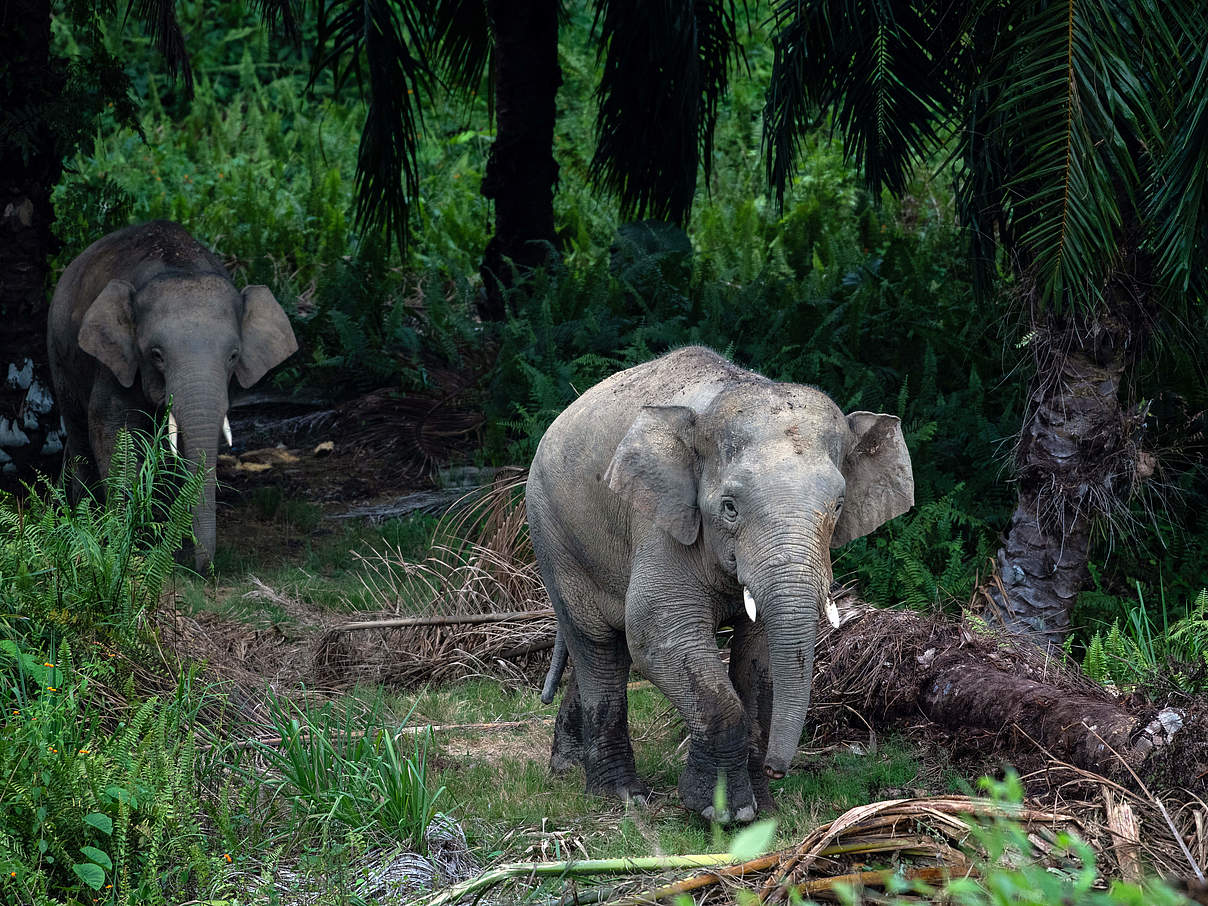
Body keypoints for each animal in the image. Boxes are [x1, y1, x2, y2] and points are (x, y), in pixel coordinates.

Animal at [47, 219, 297, 570]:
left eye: (233, 356)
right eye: (156, 355)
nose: (205, 570)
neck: (178, 267)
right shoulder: (114, 364)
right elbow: (113, 430)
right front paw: (127, 544)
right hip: (59, 353)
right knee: (79, 429)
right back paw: (86, 520)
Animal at [529, 345, 913, 821]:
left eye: (839, 505)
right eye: (729, 507)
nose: (777, 769)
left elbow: (760, 656)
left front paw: (762, 809)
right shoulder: (662, 524)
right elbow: (659, 637)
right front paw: (724, 812)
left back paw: (566, 769)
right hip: (554, 534)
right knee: (598, 646)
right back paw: (620, 795)